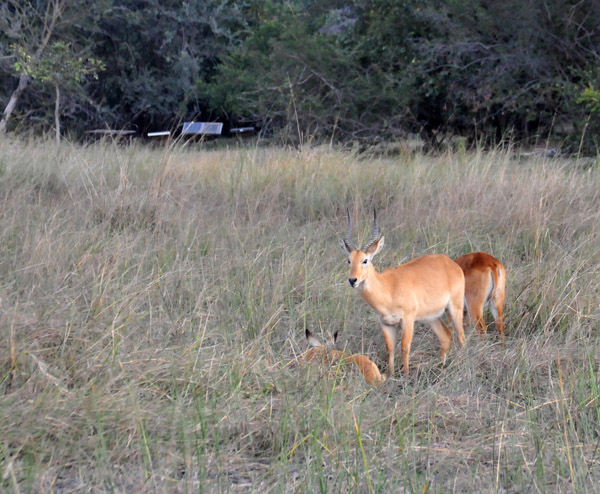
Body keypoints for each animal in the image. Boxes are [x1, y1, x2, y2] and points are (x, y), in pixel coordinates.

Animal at [340, 208, 466, 374]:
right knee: (445, 337)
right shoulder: (386, 324)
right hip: (432, 317)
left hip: (455, 308)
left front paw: (405, 373)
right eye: (349, 260)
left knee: (461, 337)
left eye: (365, 260)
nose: (352, 280)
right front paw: (391, 374)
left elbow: (405, 347)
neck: (388, 288)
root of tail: (451, 263)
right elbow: (390, 349)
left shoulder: (408, 320)